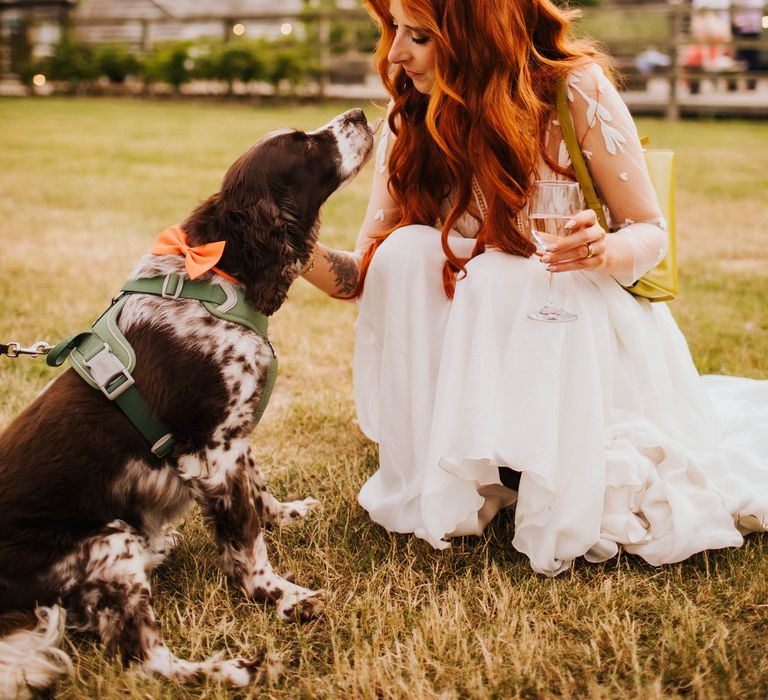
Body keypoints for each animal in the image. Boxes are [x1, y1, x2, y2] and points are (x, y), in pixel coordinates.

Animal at [0, 108, 376, 696]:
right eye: (304, 145)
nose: (359, 113)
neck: (218, 277)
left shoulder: (234, 437)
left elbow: (258, 497)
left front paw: (288, 514)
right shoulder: (213, 455)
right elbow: (246, 544)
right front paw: (285, 597)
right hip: (108, 547)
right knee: (144, 661)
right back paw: (239, 668)